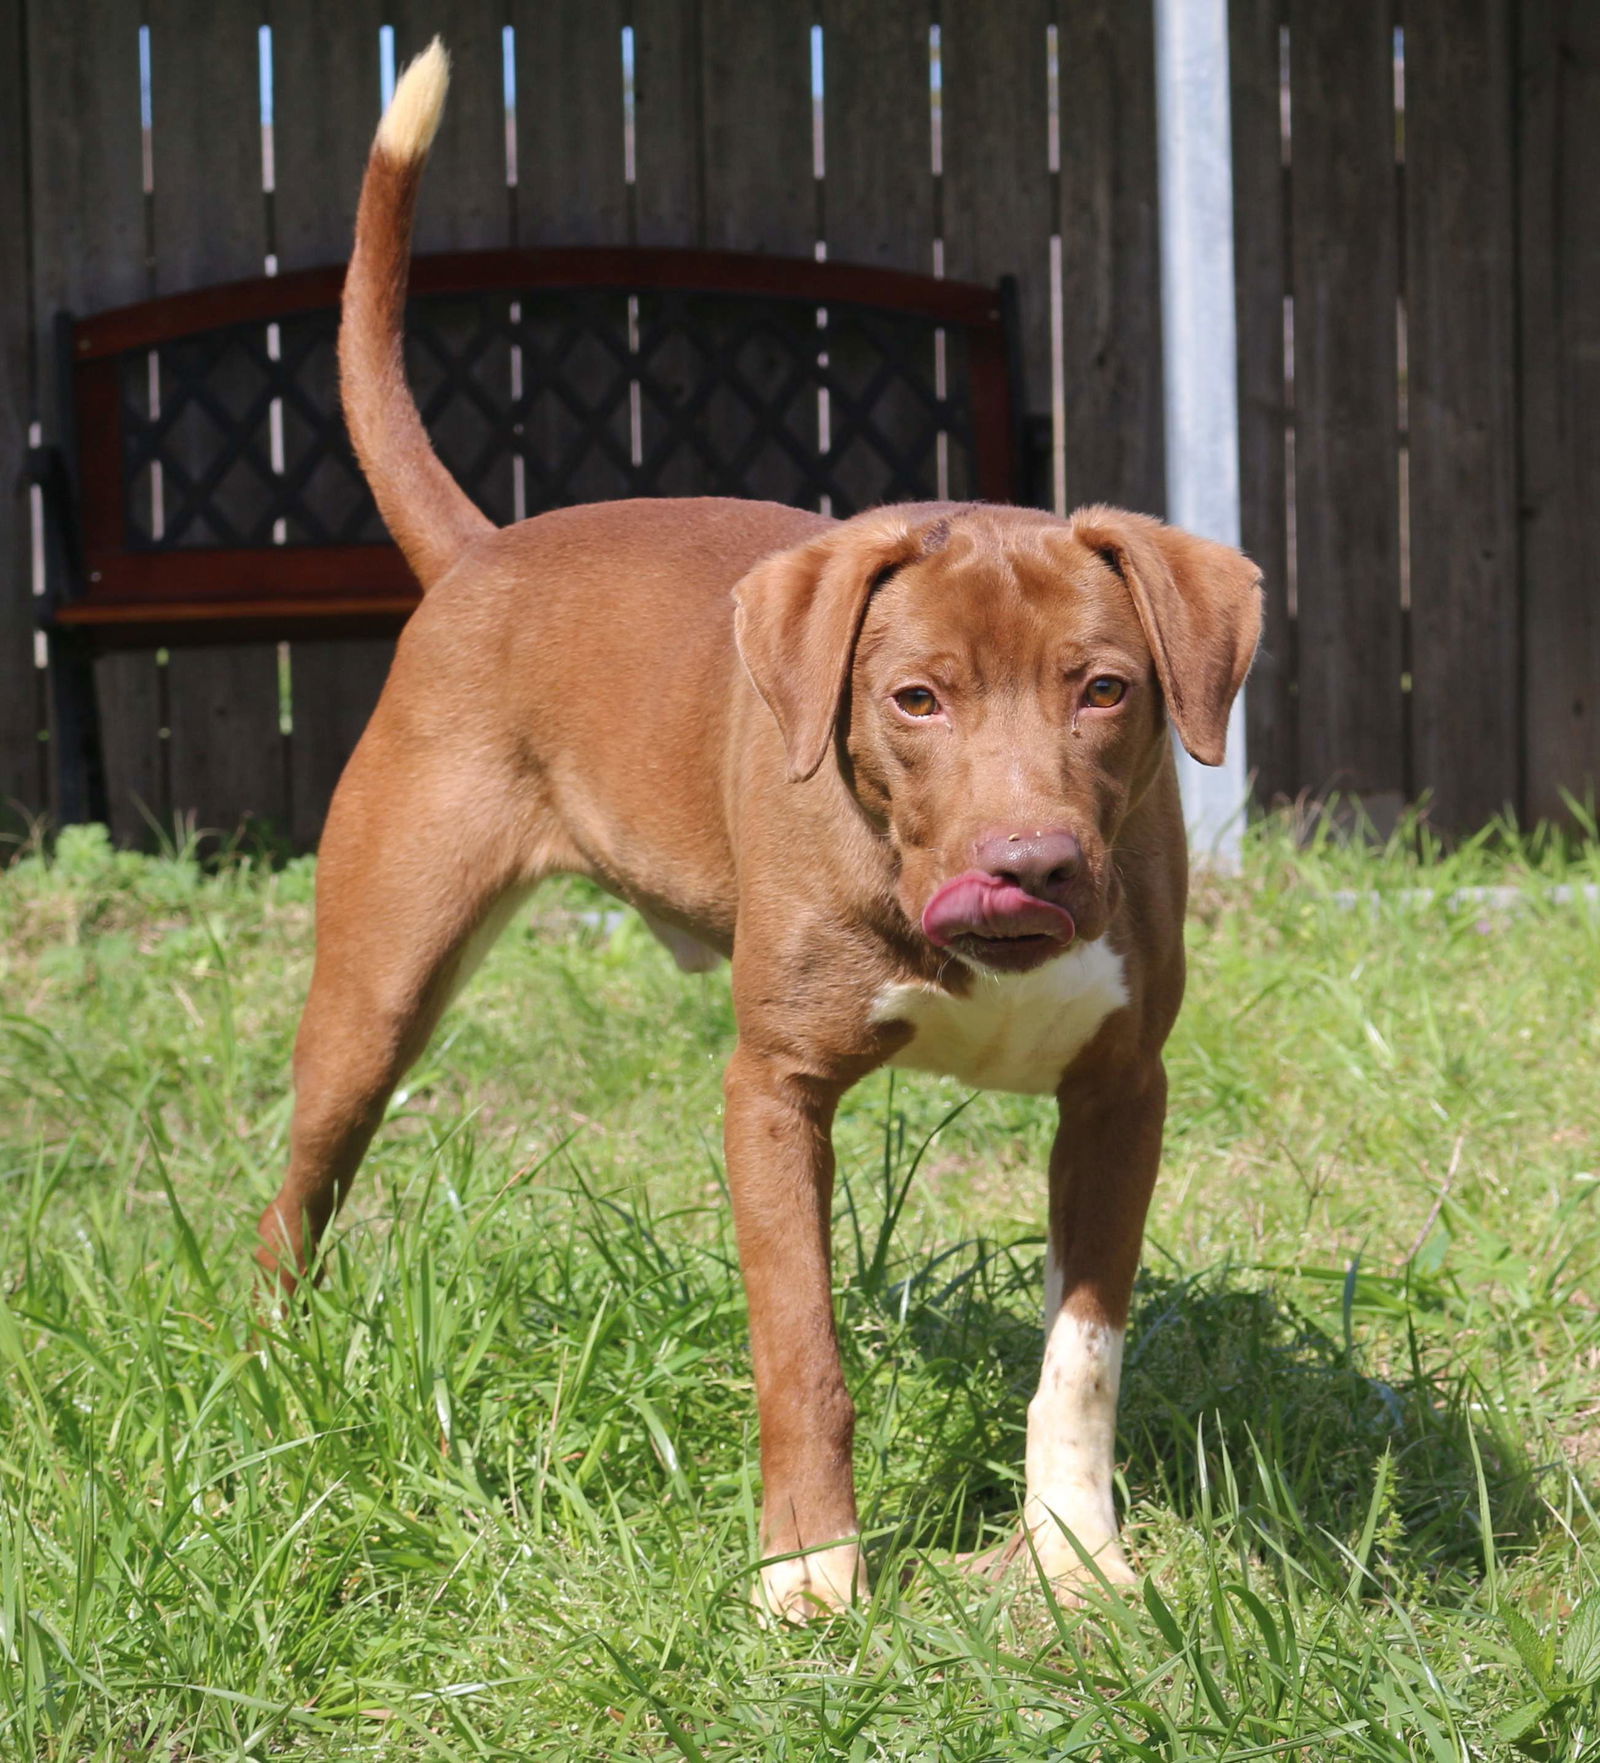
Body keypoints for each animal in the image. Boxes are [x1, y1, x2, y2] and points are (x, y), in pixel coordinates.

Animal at [259, 44, 1261, 1621]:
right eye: (914, 696)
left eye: (1105, 689)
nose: (1029, 868)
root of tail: (483, 550)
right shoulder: (772, 1091)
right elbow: (801, 1344)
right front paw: (811, 1565)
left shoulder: (1121, 1092)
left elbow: (1083, 1352)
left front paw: (1072, 1548)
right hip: (376, 981)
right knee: (298, 1191)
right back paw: (271, 1380)